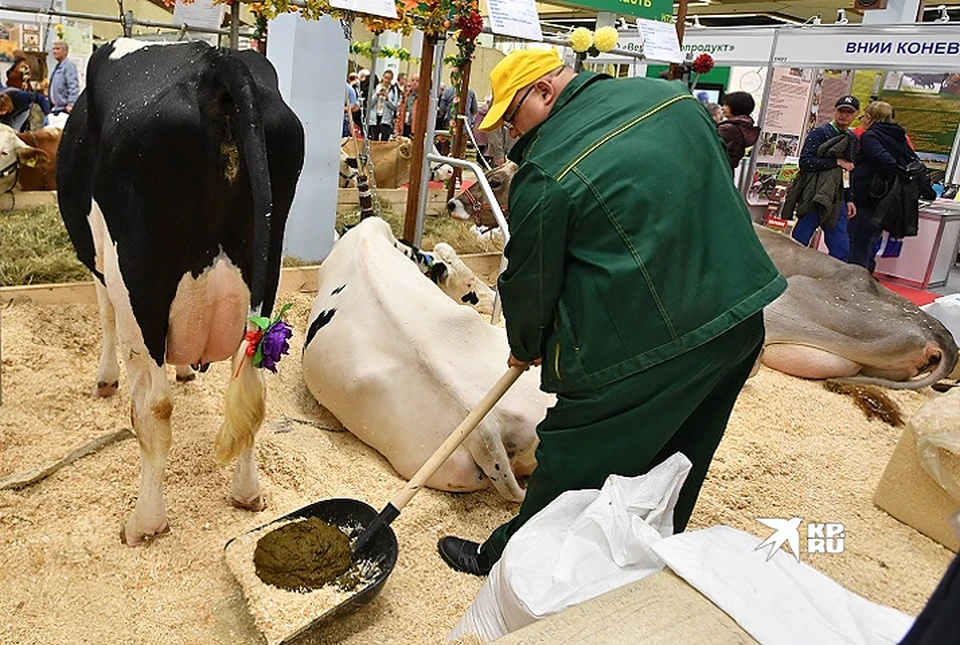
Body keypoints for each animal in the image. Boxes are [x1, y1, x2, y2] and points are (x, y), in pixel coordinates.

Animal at [57, 39, 304, 544]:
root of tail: (214, 62)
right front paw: (188, 369)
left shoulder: (100, 263)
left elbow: (104, 316)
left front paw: (105, 379)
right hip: (265, 273)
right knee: (253, 389)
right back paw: (247, 493)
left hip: (139, 285)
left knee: (154, 406)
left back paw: (145, 523)